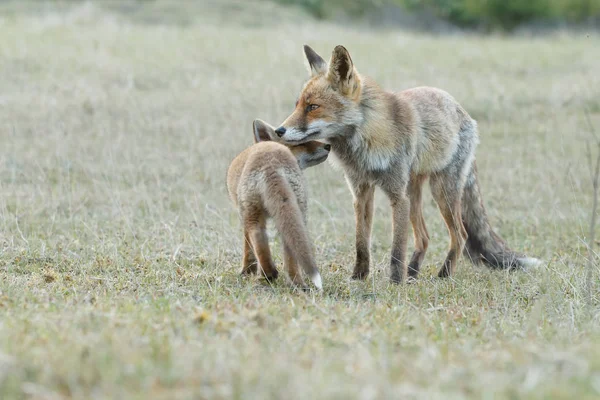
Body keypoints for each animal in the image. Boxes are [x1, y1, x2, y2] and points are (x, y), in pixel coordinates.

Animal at [276, 45, 540, 282]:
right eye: (297, 105)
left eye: (313, 107)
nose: (279, 130)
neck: (365, 143)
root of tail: (461, 110)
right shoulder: (361, 193)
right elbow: (361, 243)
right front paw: (359, 277)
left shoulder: (397, 196)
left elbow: (396, 249)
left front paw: (395, 282)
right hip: (414, 194)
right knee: (424, 237)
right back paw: (412, 273)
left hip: (440, 192)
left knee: (461, 234)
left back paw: (443, 275)